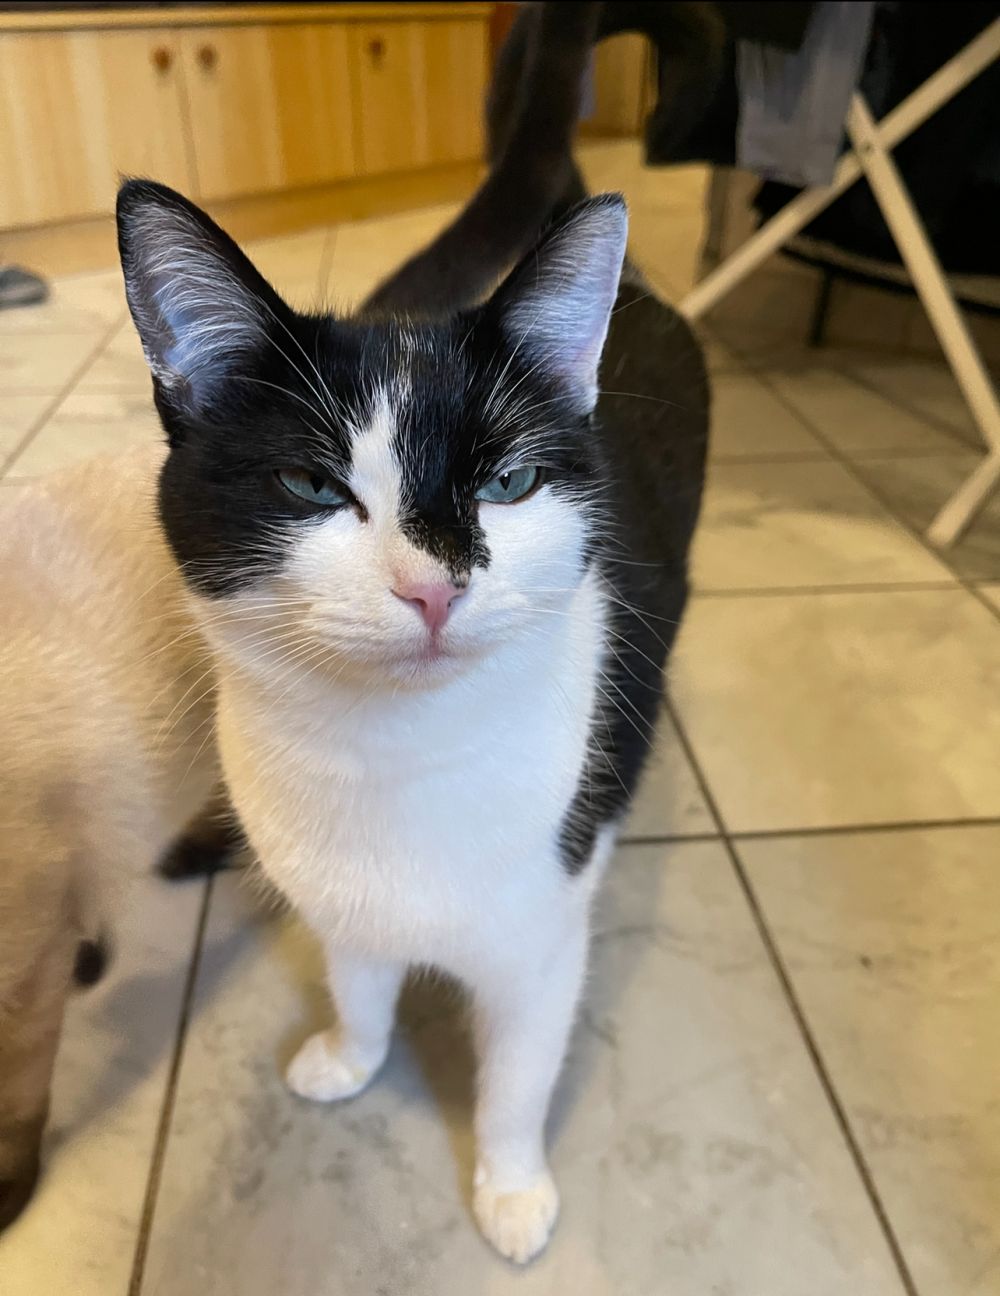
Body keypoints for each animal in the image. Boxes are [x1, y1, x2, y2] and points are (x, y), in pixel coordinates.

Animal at [0, 179, 707, 1260]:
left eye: (509, 482)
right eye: (311, 485)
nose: (433, 589)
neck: (393, 752)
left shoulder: (540, 935)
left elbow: (518, 1071)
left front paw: (510, 1187)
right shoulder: (333, 887)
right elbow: (360, 979)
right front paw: (350, 1053)